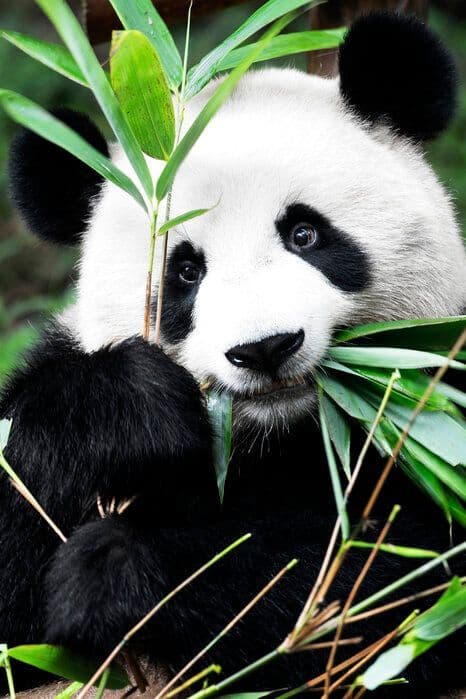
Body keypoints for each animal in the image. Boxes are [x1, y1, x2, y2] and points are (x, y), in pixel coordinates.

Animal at [1, 11, 465, 698]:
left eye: (305, 233)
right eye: (185, 272)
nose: (265, 347)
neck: (278, 438)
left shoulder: (433, 410)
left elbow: (393, 573)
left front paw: (115, 572)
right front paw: (128, 412)